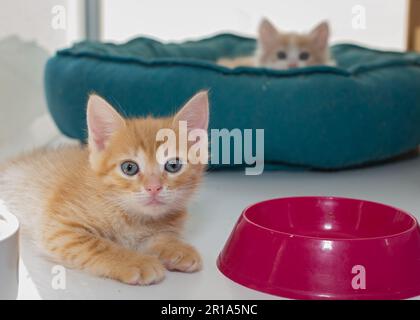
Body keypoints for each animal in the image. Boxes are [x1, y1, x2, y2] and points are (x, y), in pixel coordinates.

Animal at [0, 90, 210, 284]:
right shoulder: (60, 228)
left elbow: (160, 237)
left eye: (173, 165)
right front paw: (136, 262)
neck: (133, 217)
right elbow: (98, 245)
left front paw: (176, 247)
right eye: (129, 168)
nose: (154, 188)